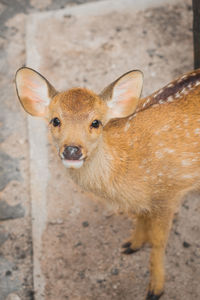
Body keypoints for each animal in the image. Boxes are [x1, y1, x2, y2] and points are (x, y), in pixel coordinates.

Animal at [15, 67, 200, 298]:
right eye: (55, 120)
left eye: (96, 123)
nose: (72, 150)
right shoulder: (145, 200)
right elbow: (141, 217)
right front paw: (132, 244)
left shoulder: (167, 193)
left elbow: (159, 242)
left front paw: (155, 289)